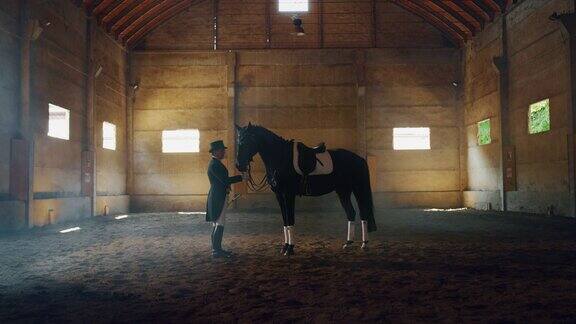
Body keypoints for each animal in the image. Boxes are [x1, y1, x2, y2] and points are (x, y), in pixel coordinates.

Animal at [235, 124, 378, 256]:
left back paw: (364, 244)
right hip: (343, 191)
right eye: (238, 141)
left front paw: (290, 249)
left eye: (246, 141)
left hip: (358, 189)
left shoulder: (288, 195)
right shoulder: (279, 196)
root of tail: (359, 159)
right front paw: (284, 247)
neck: (280, 158)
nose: (238, 165)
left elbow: (290, 220)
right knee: (351, 213)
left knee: (364, 213)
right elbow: (285, 222)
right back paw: (348, 243)